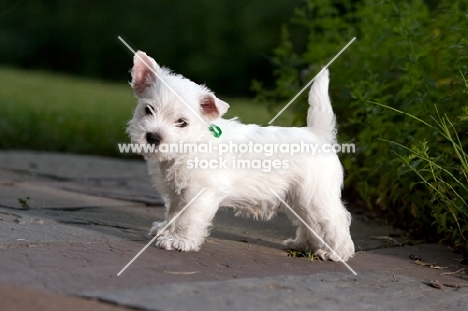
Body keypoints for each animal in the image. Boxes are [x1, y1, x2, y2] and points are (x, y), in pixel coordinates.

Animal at [126, 50, 352, 260]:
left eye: (182, 122)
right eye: (148, 110)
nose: (153, 137)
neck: (192, 145)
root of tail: (317, 134)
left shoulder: (199, 193)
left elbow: (188, 218)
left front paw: (179, 240)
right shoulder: (176, 193)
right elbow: (173, 213)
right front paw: (165, 230)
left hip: (316, 197)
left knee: (335, 221)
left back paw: (335, 252)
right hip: (298, 199)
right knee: (309, 223)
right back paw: (302, 244)